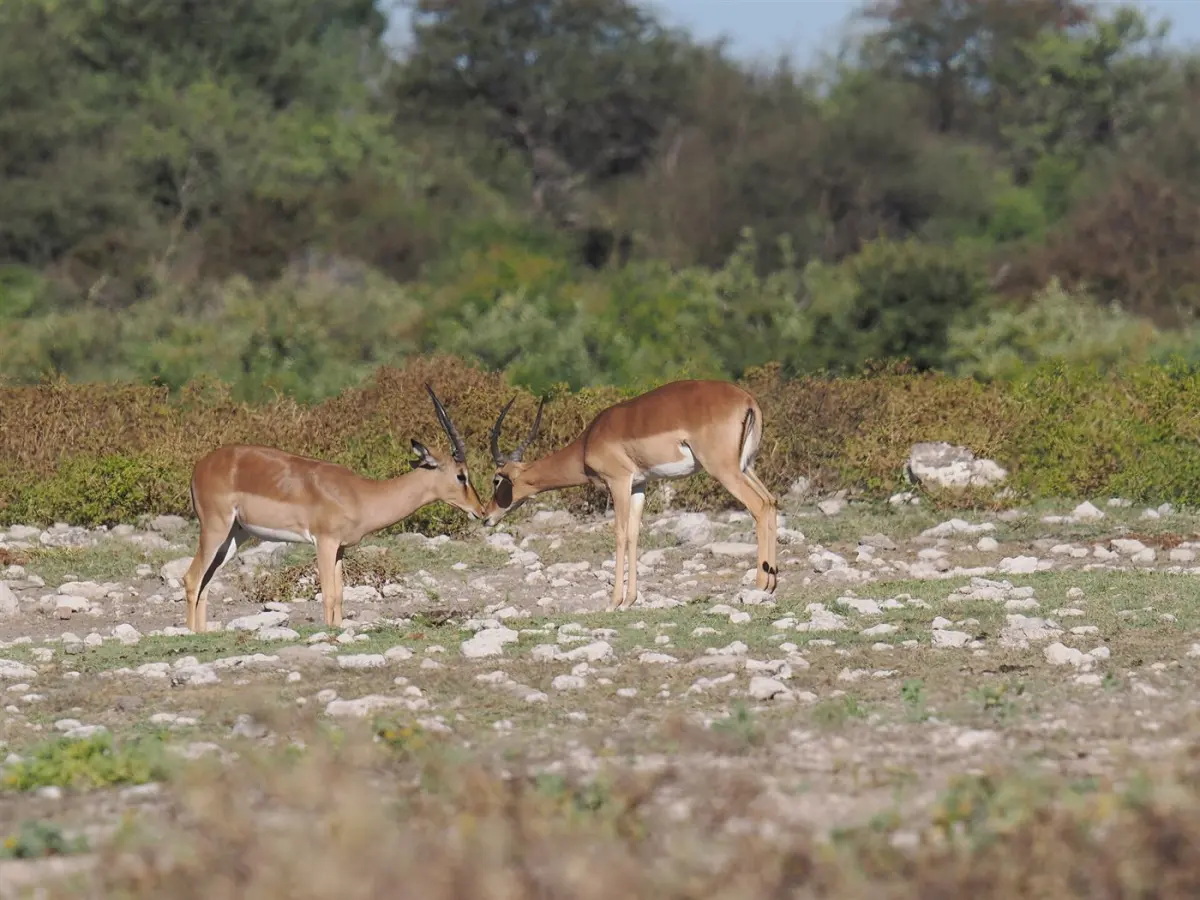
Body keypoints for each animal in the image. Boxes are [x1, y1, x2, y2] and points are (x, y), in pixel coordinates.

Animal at [182, 384, 484, 632]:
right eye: (461, 475)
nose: (481, 511)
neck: (362, 495)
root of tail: (200, 466)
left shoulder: (340, 548)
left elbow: (339, 595)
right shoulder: (324, 542)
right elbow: (327, 594)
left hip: (235, 536)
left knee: (206, 582)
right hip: (215, 528)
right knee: (192, 578)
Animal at [483, 380, 778, 611]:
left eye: (497, 480)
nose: (486, 516)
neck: (588, 442)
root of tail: (748, 400)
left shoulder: (618, 482)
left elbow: (620, 534)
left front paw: (614, 601)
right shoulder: (639, 486)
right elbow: (635, 534)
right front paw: (630, 600)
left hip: (724, 470)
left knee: (759, 505)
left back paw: (760, 584)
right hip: (746, 467)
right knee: (771, 502)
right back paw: (772, 582)